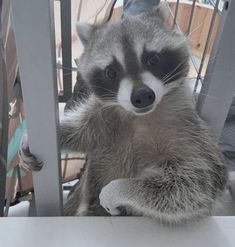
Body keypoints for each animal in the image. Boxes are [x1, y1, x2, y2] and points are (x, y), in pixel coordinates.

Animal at [20, 3, 228, 224]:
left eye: (153, 59)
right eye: (111, 72)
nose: (143, 96)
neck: (139, 116)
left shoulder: (189, 130)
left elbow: (198, 182)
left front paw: (120, 189)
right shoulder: (103, 117)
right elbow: (81, 131)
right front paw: (49, 134)